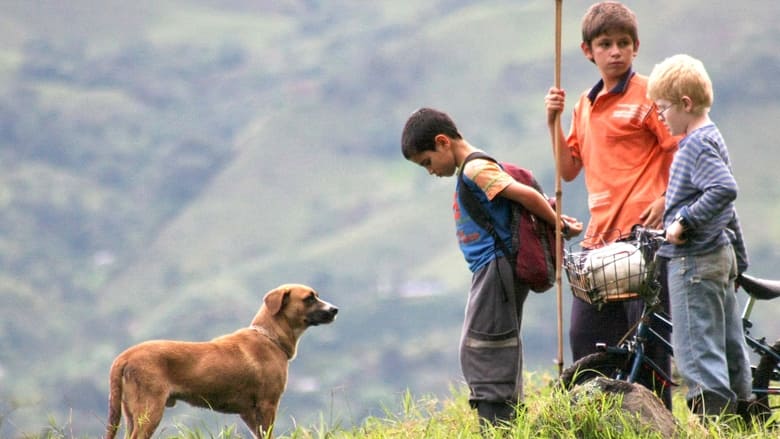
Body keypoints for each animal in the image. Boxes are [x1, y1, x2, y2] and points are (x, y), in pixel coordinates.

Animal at [105, 284, 336, 438]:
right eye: (309, 298)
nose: (335, 310)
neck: (269, 336)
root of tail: (125, 356)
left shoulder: (248, 412)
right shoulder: (267, 404)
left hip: (131, 413)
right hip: (150, 409)